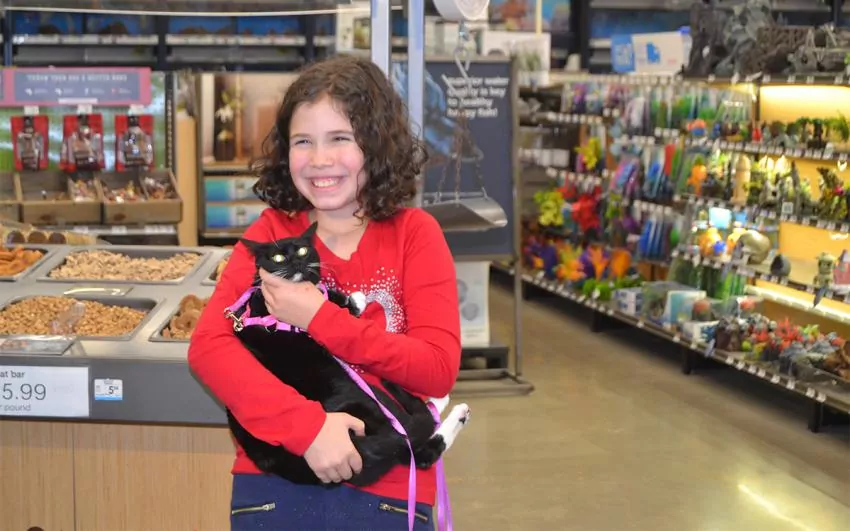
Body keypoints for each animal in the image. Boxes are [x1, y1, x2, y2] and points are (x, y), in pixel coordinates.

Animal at [226, 221, 469, 487]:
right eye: (278, 258)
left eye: (302, 251)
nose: (296, 263)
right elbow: (333, 301)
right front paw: (354, 300)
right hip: (368, 397)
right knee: (416, 447)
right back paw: (452, 408)